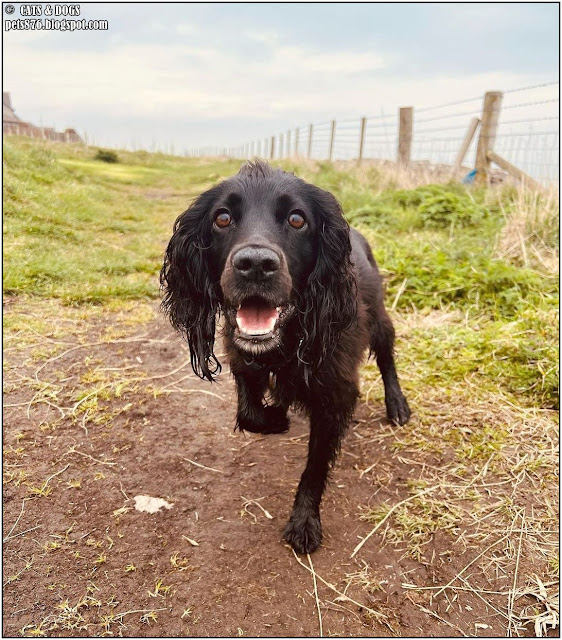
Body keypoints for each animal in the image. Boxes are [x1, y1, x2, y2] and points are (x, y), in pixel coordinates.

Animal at [160, 161, 410, 556]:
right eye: (222, 218)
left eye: (297, 219)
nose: (255, 265)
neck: (288, 340)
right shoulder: (244, 358)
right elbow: (249, 413)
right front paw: (277, 418)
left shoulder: (335, 393)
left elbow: (315, 467)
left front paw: (304, 521)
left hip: (380, 319)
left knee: (387, 358)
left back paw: (397, 404)